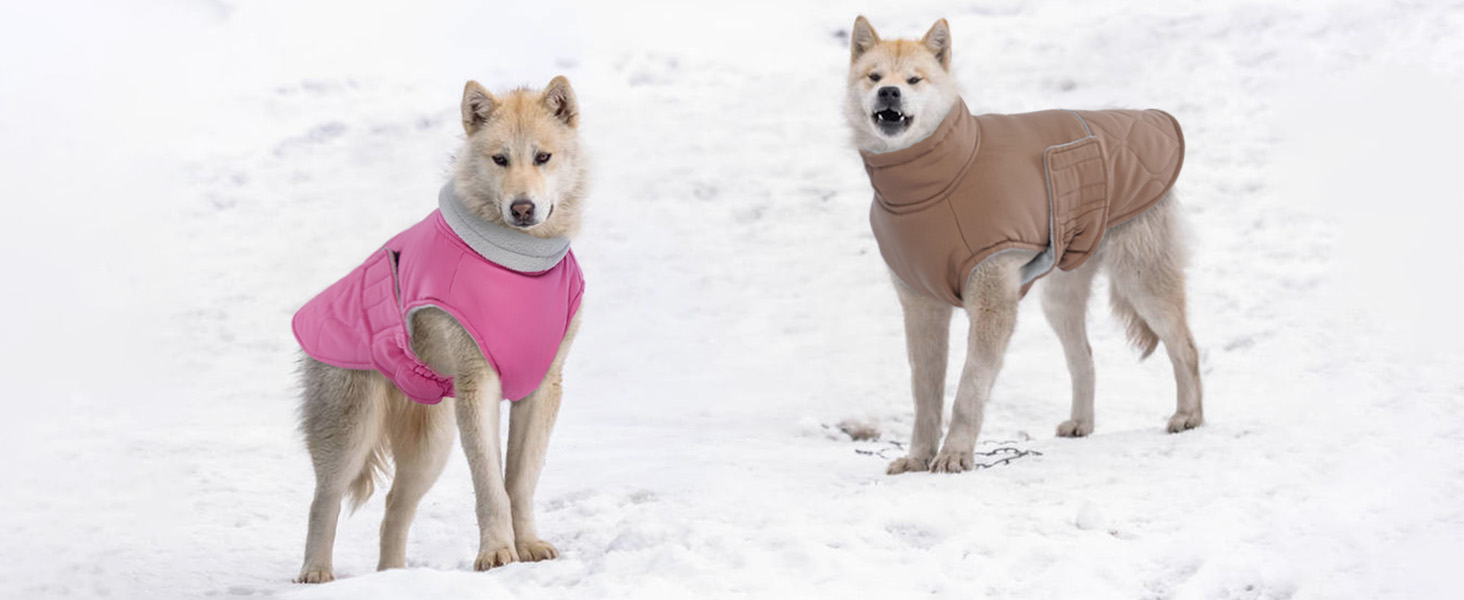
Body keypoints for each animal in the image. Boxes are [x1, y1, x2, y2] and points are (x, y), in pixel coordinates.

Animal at [291, 76, 588, 582]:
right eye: (500, 159)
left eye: (543, 157)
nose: (522, 208)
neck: (519, 268)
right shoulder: (478, 385)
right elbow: (490, 485)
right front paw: (496, 555)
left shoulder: (543, 387)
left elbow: (520, 481)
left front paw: (527, 546)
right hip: (353, 428)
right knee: (322, 499)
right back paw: (316, 575)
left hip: (433, 443)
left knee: (394, 507)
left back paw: (393, 579)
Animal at [849, 17, 1200, 474]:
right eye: (874, 77)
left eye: (913, 79)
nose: (889, 92)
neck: (929, 183)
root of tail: (1151, 116)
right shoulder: (921, 309)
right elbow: (925, 396)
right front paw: (918, 458)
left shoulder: (992, 305)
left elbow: (968, 390)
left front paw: (955, 454)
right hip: (1059, 299)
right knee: (1084, 358)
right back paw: (1081, 423)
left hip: (1142, 281)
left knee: (1186, 347)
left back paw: (1189, 415)